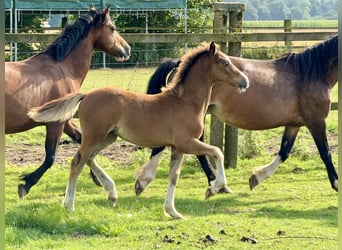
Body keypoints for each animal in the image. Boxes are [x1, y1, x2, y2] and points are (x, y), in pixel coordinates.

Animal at [5, 5, 131, 197]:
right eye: (112, 28)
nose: (127, 49)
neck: (63, 69)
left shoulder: (66, 120)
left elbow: (83, 143)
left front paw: (96, 177)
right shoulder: (55, 123)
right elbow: (50, 157)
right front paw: (26, 184)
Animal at [28, 42, 248, 218]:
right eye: (225, 62)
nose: (245, 81)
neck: (185, 102)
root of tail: (86, 95)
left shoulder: (177, 147)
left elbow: (174, 176)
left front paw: (173, 212)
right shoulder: (187, 143)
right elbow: (217, 152)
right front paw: (213, 189)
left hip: (109, 137)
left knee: (89, 158)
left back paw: (112, 194)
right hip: (94, 136)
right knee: (77, 162)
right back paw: (69, 205)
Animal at [135, 34, 338, 192]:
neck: (313, 73)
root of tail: (178, 62)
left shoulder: (294, 124)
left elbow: (284, 151)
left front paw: (256, 177)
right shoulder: (316, 121)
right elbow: (325, 153)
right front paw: (336, 184)